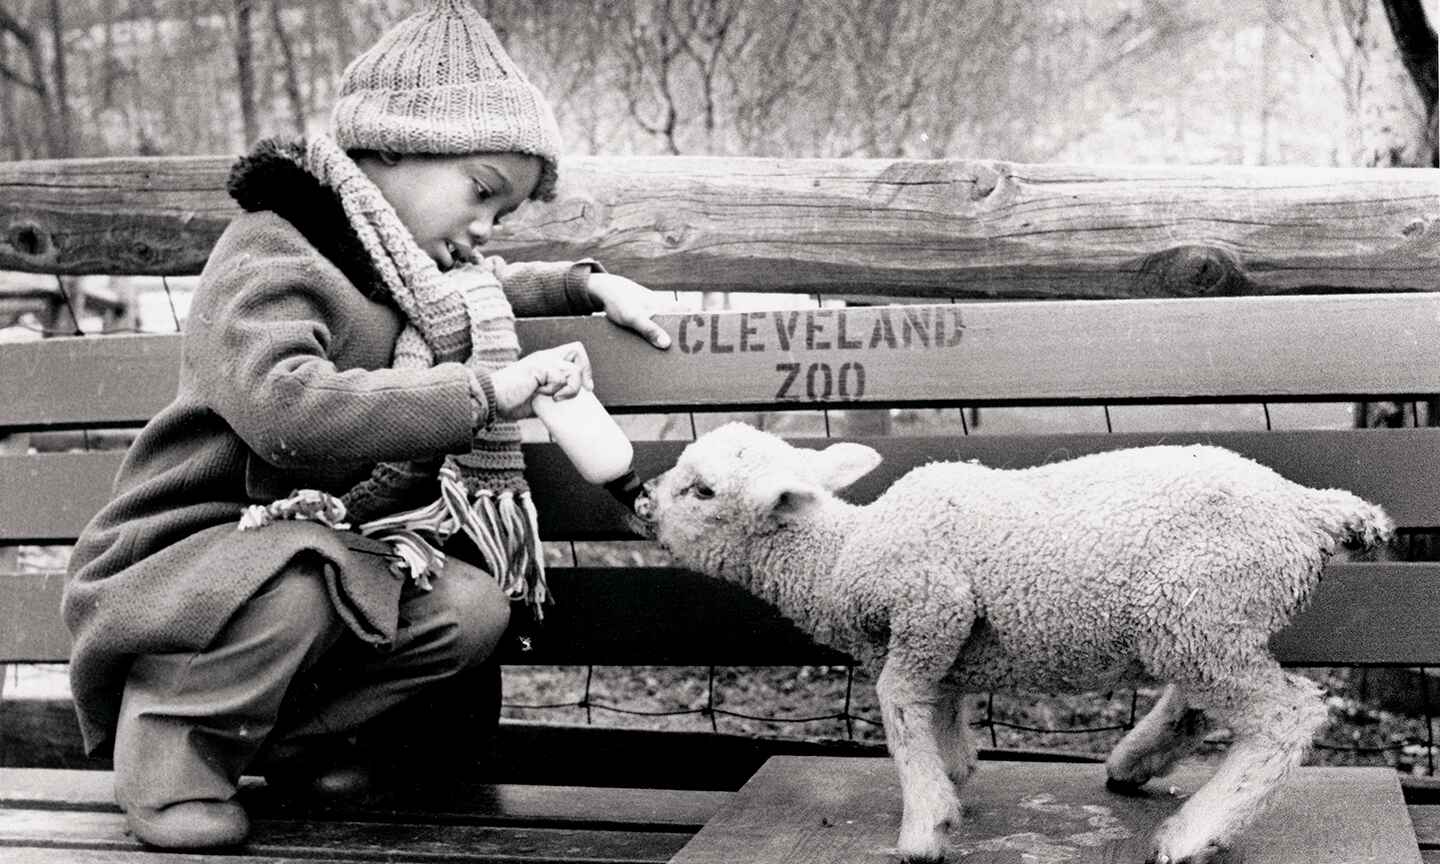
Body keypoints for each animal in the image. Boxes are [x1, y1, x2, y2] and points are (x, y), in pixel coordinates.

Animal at [631, 422, 1393, 864]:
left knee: (1286, 715)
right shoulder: (941, 638)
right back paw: (1135, 764)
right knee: (1204, 703)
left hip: (1198, 609)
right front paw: (952, 769)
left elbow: (897, 697)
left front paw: (925, 824)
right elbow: (938, 705)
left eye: (702, 491)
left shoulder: (932, 599)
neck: (844, 558)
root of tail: (1310, 510)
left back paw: (1192, 835)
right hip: (1206, 622)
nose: (638, 495)